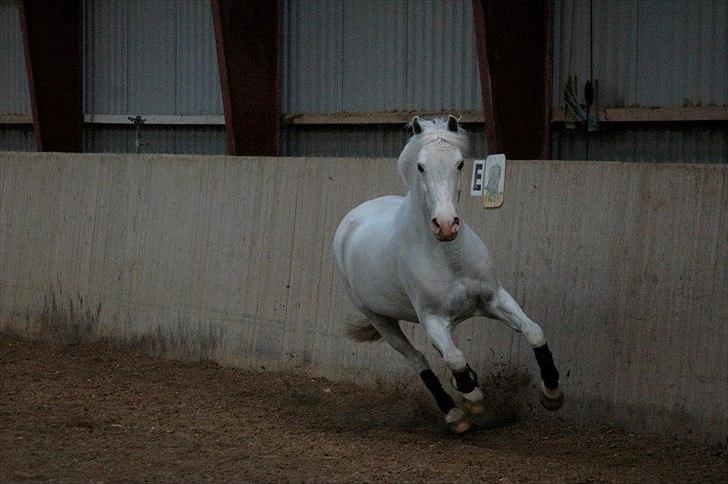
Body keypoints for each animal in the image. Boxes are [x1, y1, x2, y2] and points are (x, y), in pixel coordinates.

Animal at [332, 115, 564, 432]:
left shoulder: (494, 298)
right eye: (421, 166)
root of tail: (352, 218)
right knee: (418, 359)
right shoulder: (432, 318)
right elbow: (454, 358)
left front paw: (551, 394)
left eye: (460, 163)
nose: (445, 225)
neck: (448, 257)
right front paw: (473, 398)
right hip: (379, 319)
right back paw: (455, 415)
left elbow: (534, 332)